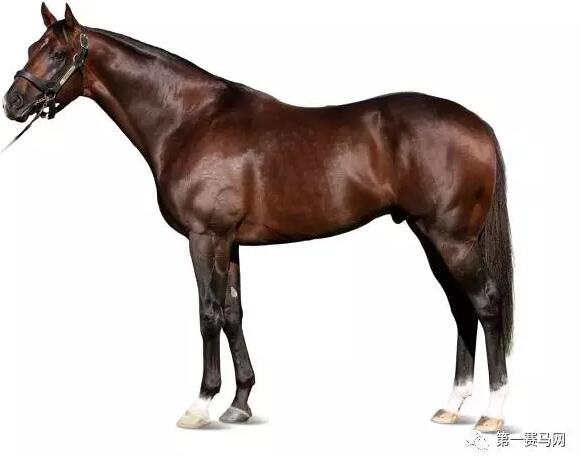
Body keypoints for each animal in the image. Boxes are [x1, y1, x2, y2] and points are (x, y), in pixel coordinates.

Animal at [3, 4, 513, 432]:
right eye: (31, 49)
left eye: (56, 52)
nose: (12, 103)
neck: (190, 121)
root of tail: (480, 126)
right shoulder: (229, 242)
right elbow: (234, 313)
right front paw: (239, 403)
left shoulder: (204, 237)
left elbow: (208, 313)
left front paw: (200, 404)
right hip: (431, 237)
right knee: (461, 307)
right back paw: (452, 405)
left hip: (452, 239)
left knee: (486, 303)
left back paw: (493, 412)